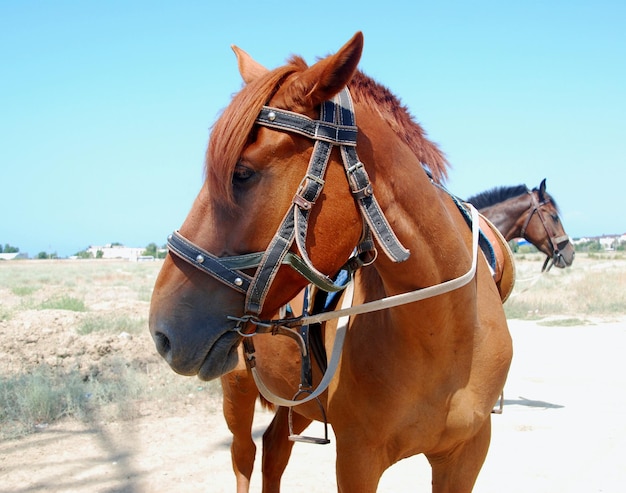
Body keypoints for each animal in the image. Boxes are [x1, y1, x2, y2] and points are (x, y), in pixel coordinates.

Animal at [149, 32, 510, 490]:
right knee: (244, 456)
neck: (446, 335)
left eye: (242, 173)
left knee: (274, 449)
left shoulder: (467, 454)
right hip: (237, 389)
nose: (162, 331)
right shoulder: (357, 458)